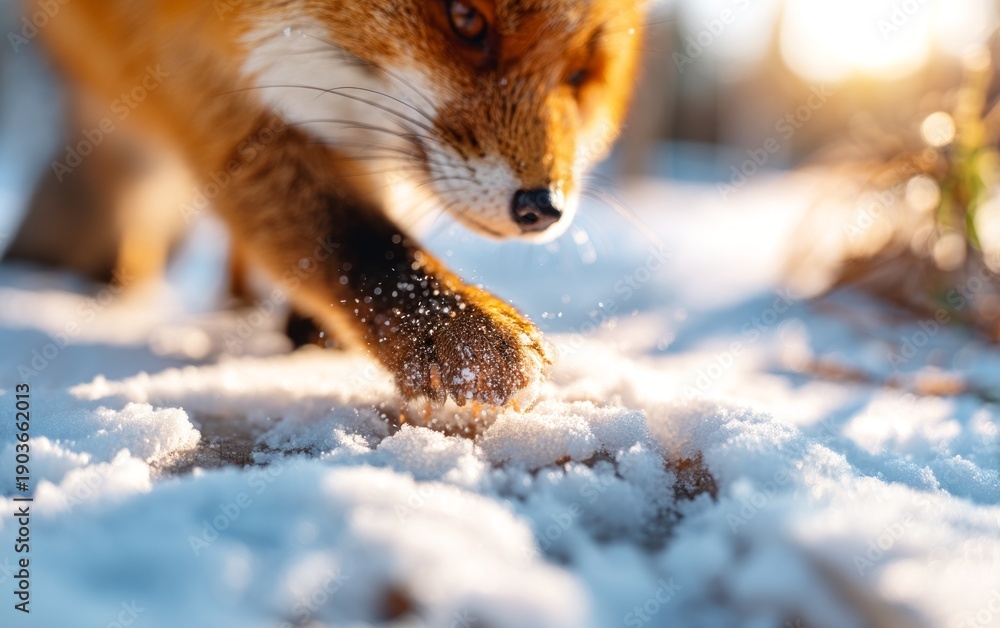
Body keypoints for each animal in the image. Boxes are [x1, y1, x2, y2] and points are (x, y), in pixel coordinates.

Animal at [6, 0, 646, 408]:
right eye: (465, 18)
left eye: (579, 74)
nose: (543, 208)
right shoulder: (192, 69)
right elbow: (356, 236)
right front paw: (465, 333)